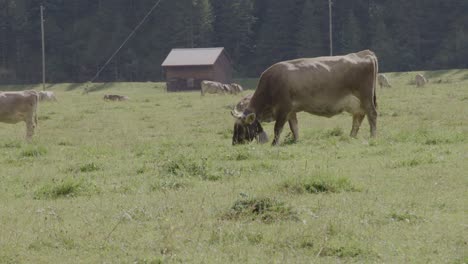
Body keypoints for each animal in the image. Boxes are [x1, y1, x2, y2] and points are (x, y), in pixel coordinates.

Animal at [232, 49, 378, 146]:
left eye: (241, 127)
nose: (234, 143)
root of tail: (365, 53)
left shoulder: (283, 109)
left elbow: (277, 128)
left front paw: (274, 144)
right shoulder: (291, 111)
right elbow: (294, 128)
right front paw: (296, 141)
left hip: (366, 97)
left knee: (372, 114)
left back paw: (372, 136)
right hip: (356, 103)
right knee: (358, 117)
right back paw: (351, 137)